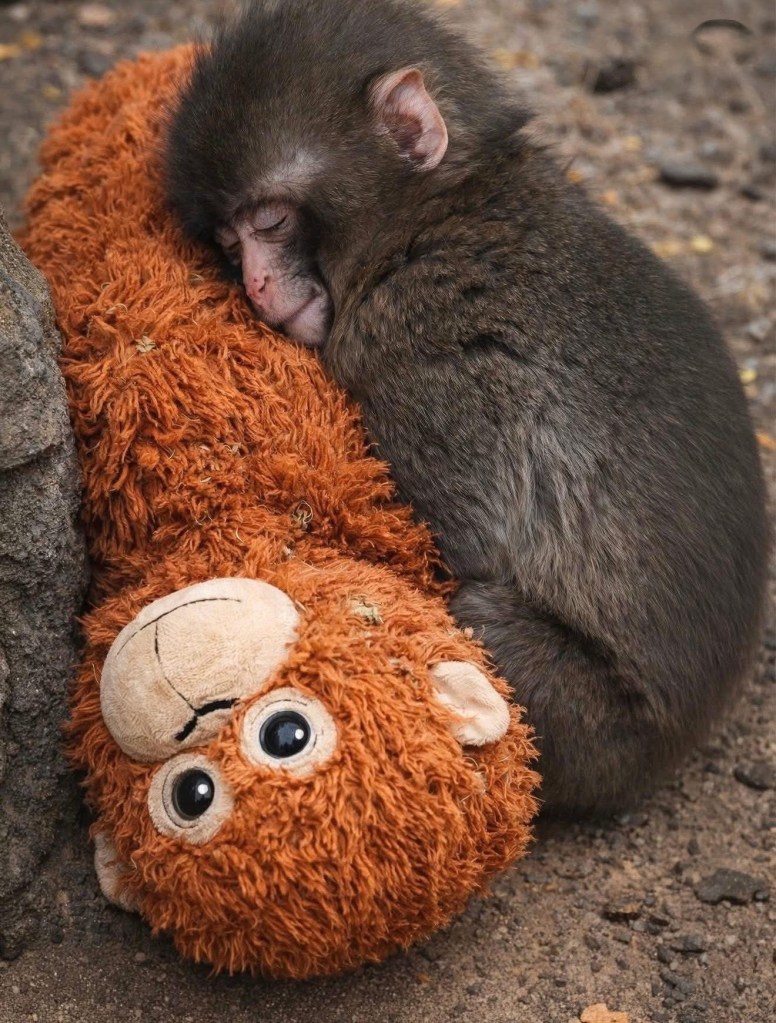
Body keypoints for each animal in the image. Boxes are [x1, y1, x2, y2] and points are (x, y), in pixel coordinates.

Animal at [163, 0, 769, 816]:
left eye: (271, 222)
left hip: (592, 725)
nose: (256, 286)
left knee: (481, 619)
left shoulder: (419, 349)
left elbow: (463, 544)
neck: (432, 216)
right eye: (230, 241)